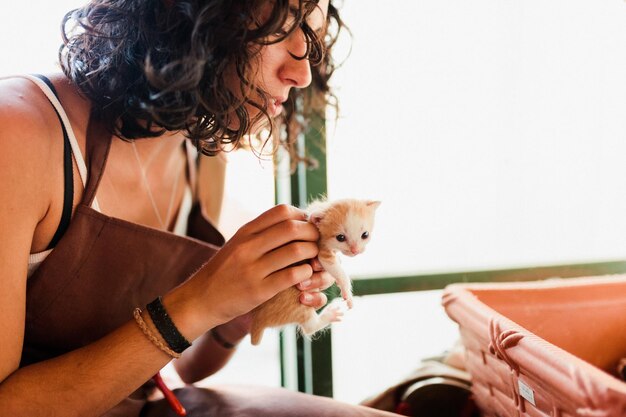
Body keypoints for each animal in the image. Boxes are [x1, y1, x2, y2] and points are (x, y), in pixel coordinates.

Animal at [250, 198, 380, 344]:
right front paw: (347, 293)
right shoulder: (322, 252)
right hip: (298, 305)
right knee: (310, 327)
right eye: (340, 238)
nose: (355, 251)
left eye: (365, 235)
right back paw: (330, 315)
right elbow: (339, 272)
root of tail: (258, 321)